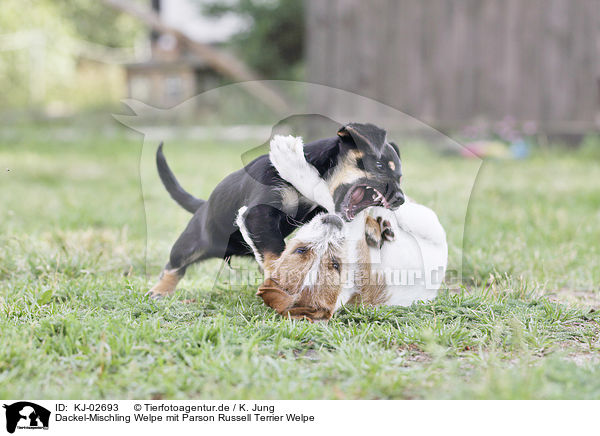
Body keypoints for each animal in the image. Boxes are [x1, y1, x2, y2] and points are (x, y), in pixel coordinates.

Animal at [149, 122, 404, 296]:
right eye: (379, 165)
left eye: (400, 176)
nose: (400, 199)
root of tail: (203, 206)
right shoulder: (258, 214)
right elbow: (274, 250)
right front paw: (282, 276)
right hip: (191, 244)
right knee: (173, 266)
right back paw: (160, 291)